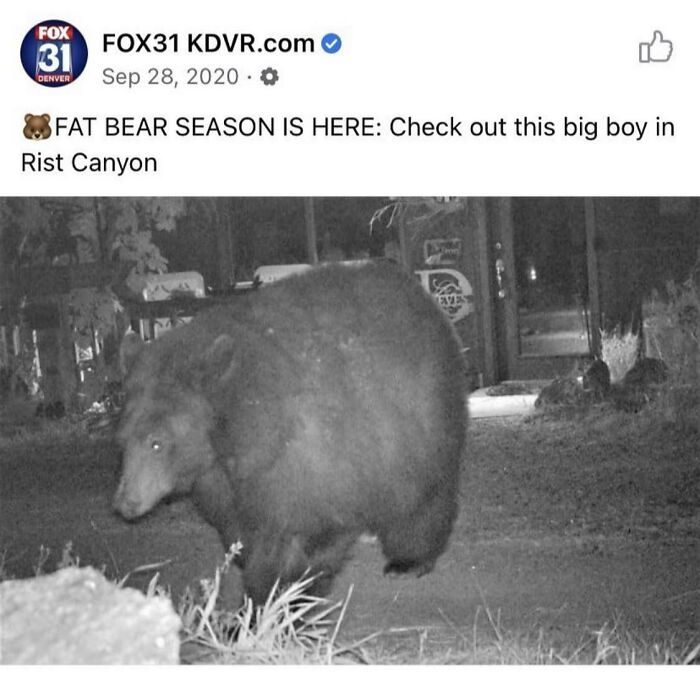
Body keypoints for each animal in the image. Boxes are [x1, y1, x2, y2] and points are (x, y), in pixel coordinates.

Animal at [114, 262, 468, 605]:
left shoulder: (308, 461)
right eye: (122, 441)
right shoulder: (229, 483)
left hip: (421, 419)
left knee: (422, 496)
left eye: (157, 443)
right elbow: (241, 531)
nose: (125, 504)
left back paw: (409, 560)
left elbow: (300, 541)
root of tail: (421, 295)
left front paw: (279, 603)